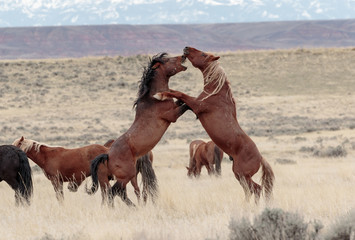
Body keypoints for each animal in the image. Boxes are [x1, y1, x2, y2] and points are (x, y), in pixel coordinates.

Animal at [86, 52, 191, 206]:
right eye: (167, 60)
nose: (183, 55)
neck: (152, 99)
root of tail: (108, 155)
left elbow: (182, 100)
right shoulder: (172, 116)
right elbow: (187, 105)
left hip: (127, 177)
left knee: (118, 193)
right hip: (126, 176)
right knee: (114, 192)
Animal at [155, 46, 276, 202]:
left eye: (203, 54)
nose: (186, 48)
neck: (216, 93)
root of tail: (260, 158)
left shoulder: (197, 105)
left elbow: (180, 93)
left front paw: (160, 94)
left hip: (242, 174)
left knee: (257, 189)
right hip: (238, 174)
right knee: (250, 190)